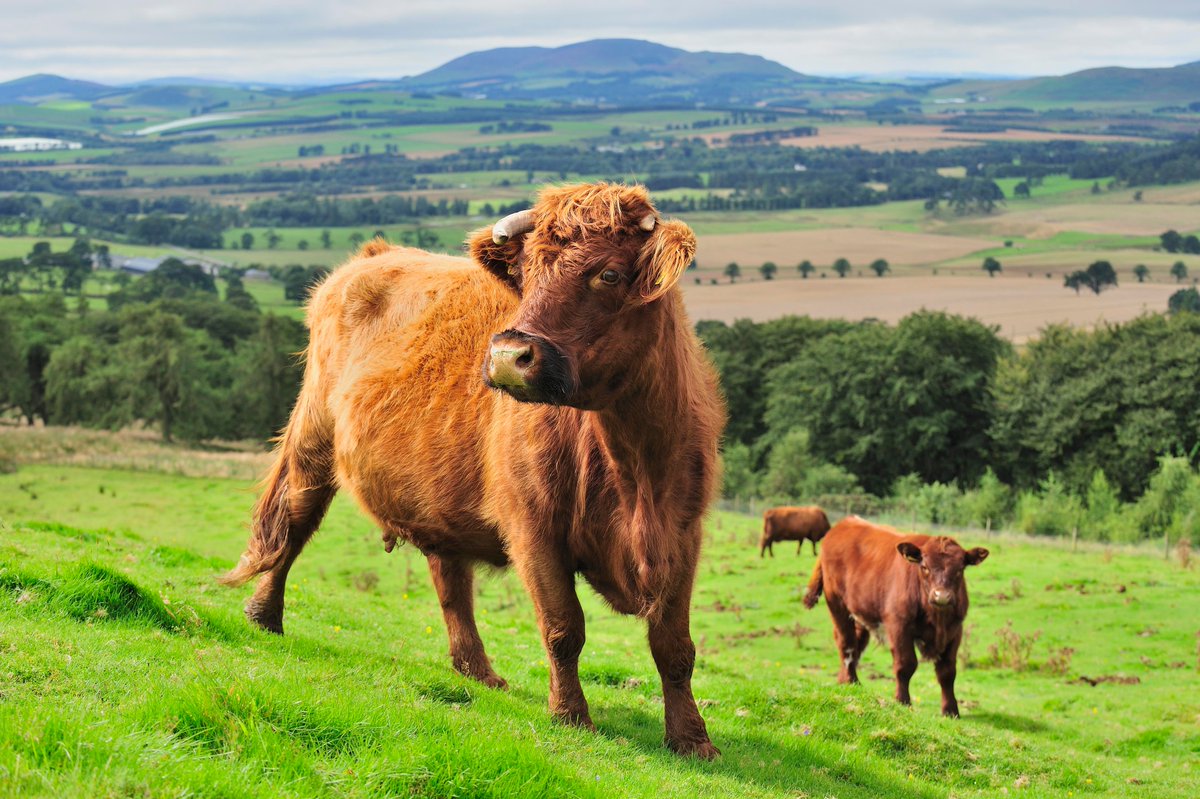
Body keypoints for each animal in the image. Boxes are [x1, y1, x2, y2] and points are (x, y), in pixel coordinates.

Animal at [222, 183, 725, 759]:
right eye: (527, 274)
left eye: (610, 274)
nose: (509, 355)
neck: (635, 465)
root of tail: (375, 255)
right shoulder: (533, 528)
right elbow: (563, 627)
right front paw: (571, 716)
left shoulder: (683, 534)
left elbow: (674, 646)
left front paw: (692, 740)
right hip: (314, 436)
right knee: (294, 518)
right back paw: (264, 615)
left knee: (450, 580)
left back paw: (477, 671)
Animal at [802, 516, 988, 717]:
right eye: (924, 567)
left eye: (960, 569)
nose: (942, 596)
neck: (937, 618)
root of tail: (844, 523)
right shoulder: (899, 626)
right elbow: (905, 665)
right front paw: (902, 701)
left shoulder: (955, 630)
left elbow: (947, 672)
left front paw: (950, 710)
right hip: (837, 605)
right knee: (847, 643)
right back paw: (851, 681)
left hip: (860, 611)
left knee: (857, 644)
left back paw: (844, 680)